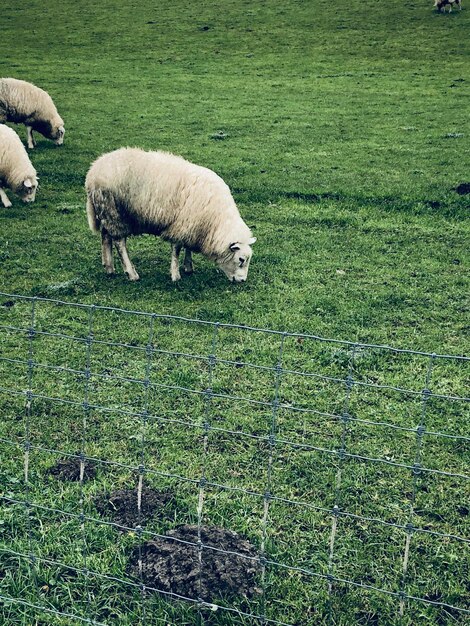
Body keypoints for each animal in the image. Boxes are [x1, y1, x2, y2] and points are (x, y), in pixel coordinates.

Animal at [84, 147, 253, 282]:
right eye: (241, 259)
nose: (242, 280)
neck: (216, 222)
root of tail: (92, 172)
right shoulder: (181, 224)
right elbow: (176, 249)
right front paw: (175, 275)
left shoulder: (190, 225)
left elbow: (187, 246)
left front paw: (188, 267)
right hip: (114, 212)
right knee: (119, 242)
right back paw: (131, 273)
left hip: (106, 212)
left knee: (106, 236)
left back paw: (109, 268)